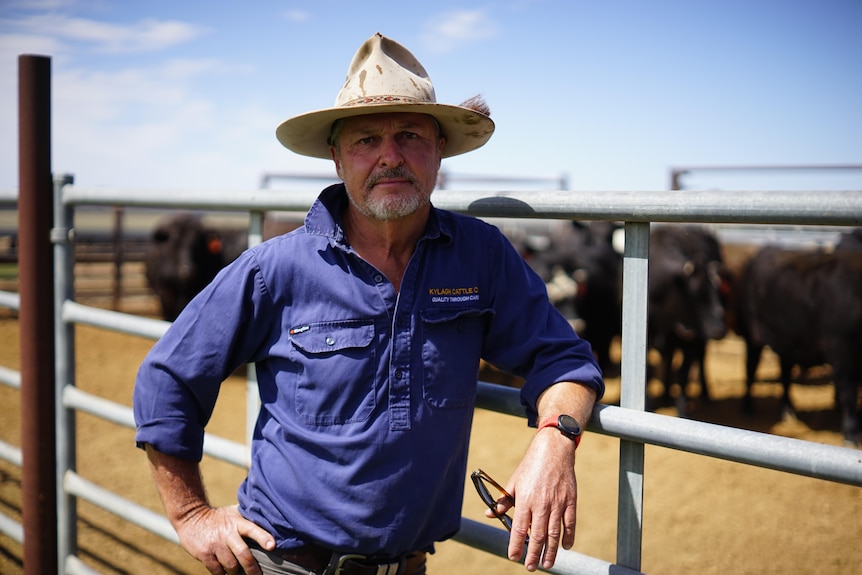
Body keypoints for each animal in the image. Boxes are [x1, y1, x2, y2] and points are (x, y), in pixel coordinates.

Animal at [652, 224, 732, 414]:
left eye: (720, 293)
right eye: (696, 292)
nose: (719, 329)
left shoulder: (693, 339)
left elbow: (683, 373)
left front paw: (682, 409)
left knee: (700, 358)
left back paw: (705, 394)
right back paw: (665, 394)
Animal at [736, 246, 862, 446]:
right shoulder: (841, 350)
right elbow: (849, 394)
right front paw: (851, 435)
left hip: (787, 342)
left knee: (785, 373)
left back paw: (787, 412)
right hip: (752, 336)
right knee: (751, 368)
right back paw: (748, 408)